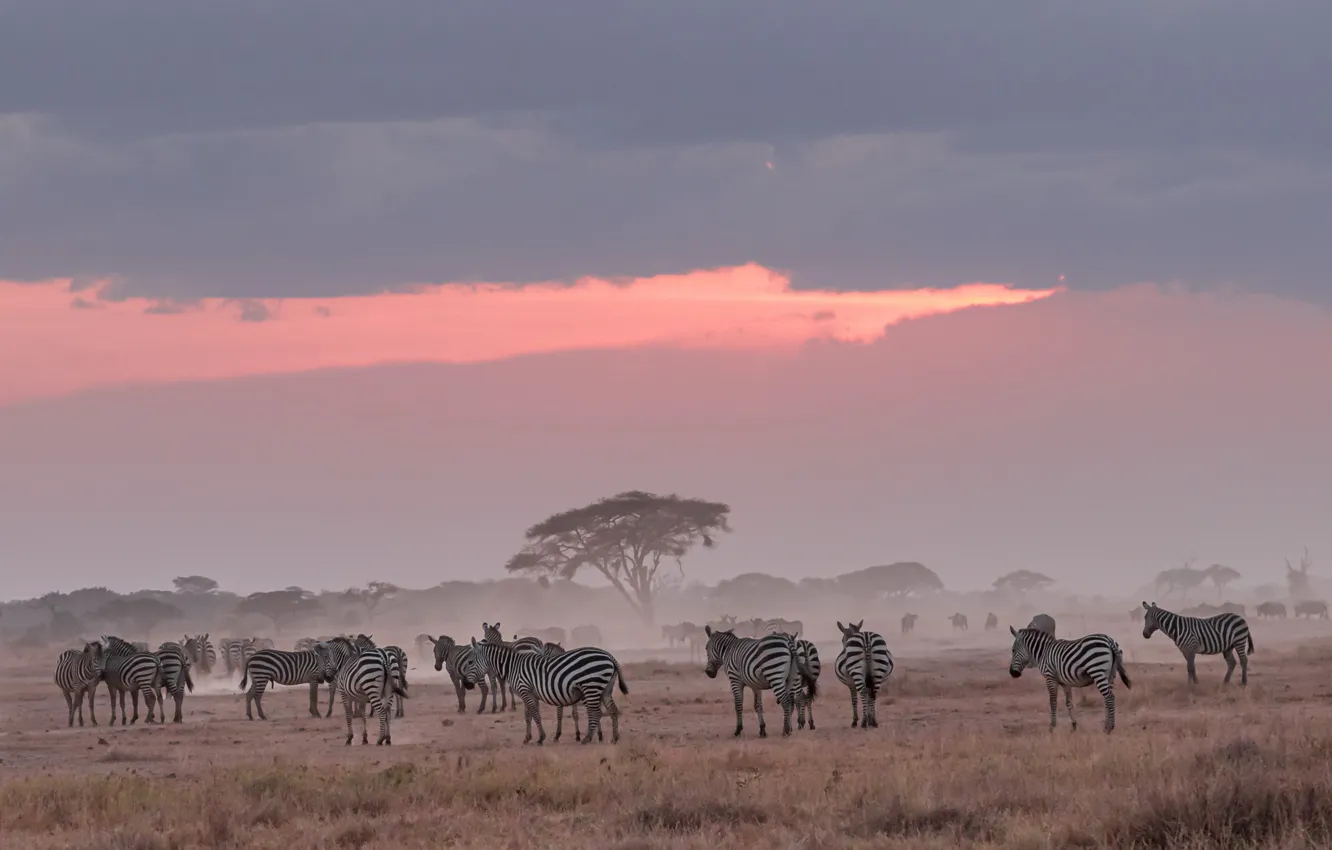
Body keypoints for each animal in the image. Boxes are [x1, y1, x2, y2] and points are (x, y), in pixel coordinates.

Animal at [470, 637, 628, 745]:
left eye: (470, 662)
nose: (468, 685)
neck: (513, 666)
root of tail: (609, 655)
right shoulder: (529, 693)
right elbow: (529, 715)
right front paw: (527, 738)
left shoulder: (525, 690)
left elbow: (535, 714)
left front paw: (541, 738)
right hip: (605, 688)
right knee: (613, 710)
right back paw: (614, 738)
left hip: (591, 686)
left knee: (596, 712)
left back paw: (587, 738)